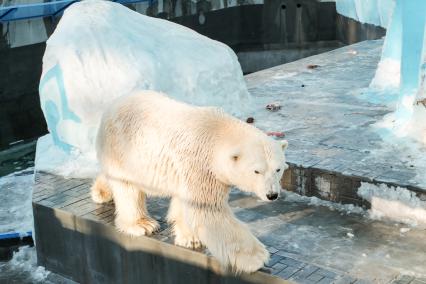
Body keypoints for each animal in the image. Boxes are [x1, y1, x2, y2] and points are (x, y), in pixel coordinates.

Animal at [90, 91, 290, 272]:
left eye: (278, 169)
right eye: (257, 171)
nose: (272, 194)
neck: (218, 134)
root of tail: (113, 105)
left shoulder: (191, 170)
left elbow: (187, 203)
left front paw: (190, 238)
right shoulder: (201, 165)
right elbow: (208, 211)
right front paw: (257, 257)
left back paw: (101, 191)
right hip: (123, 148)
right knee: (127, 188)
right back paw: (142, 224)